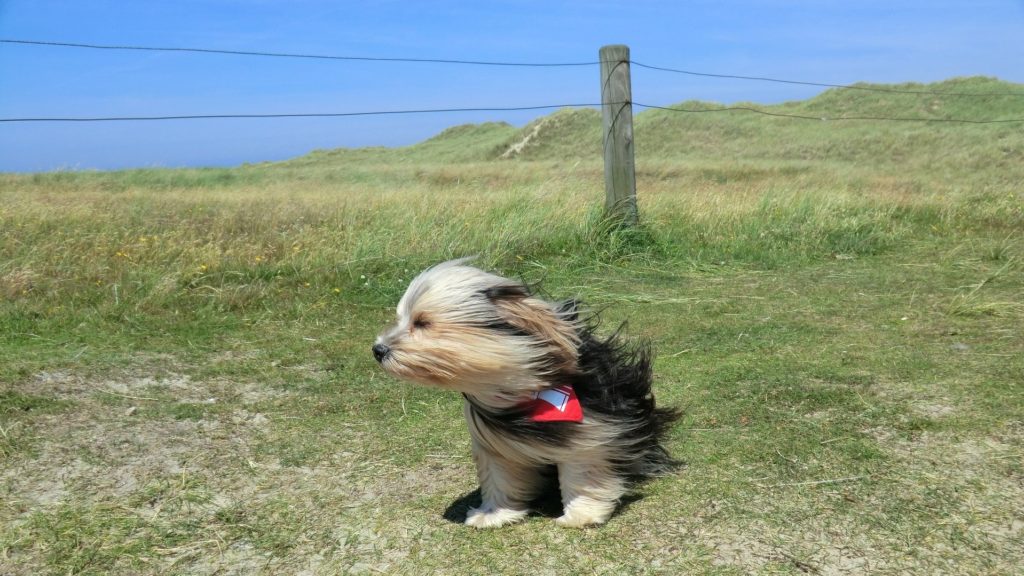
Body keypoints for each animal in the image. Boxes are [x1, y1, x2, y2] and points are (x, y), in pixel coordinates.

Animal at [372, 258, 675, 528]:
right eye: (401, 320)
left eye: (422, 322)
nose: (378, 350)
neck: (520, 387)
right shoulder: (493, 443)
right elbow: (499, 476)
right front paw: (494, 514)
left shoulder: (593, 429)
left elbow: (582, 470)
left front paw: (581, 514)